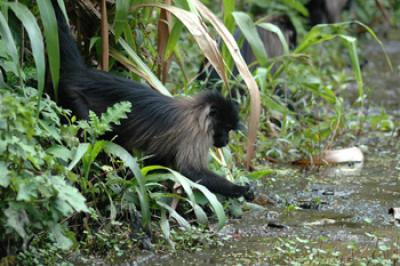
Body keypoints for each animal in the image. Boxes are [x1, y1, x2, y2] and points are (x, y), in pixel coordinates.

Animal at [51, 1, 255, 201]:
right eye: (225, 129)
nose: (226, 140)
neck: (197, 111)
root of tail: (82, 74)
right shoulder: (196, 133)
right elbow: (190, 170)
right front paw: (240, 189)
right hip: (73, 97)